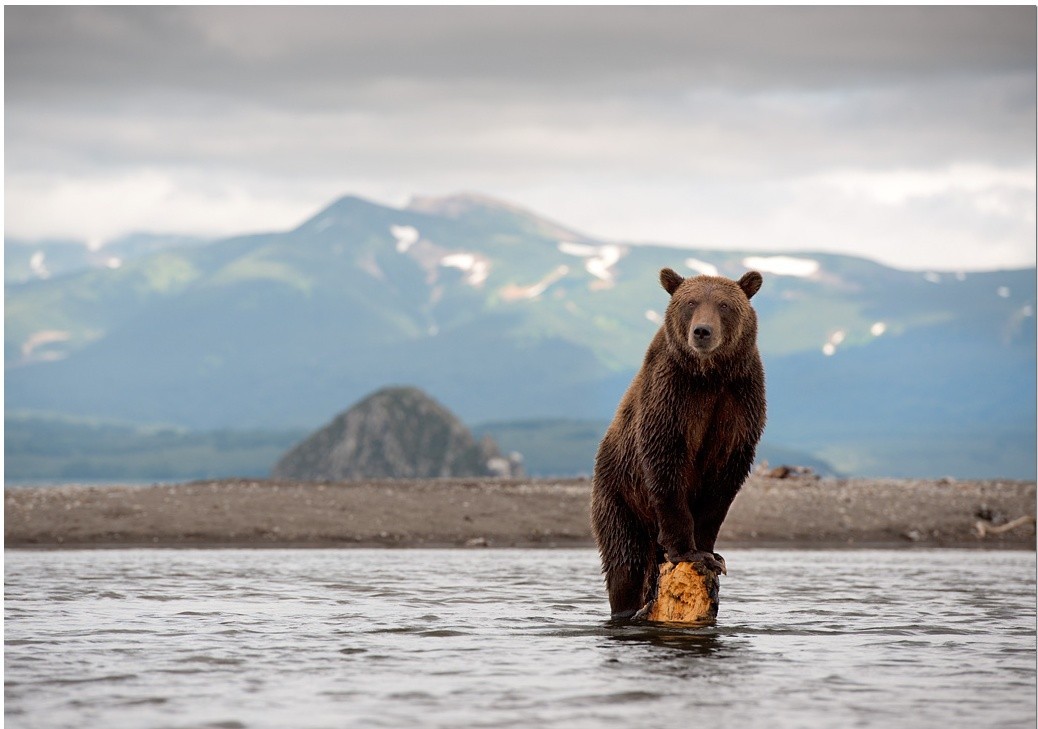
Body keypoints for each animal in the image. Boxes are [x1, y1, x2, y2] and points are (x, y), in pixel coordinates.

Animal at [593, 265, 763, 618]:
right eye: (691, 302)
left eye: (724, 305)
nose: (702, 331)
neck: (709, 376)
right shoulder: (671, 396)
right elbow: (666, 465)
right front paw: (688, 551)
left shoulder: (740, 400)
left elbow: (723, 483)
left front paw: (712, 553)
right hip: (619, 494)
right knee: (625, 558)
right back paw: (628, 608)